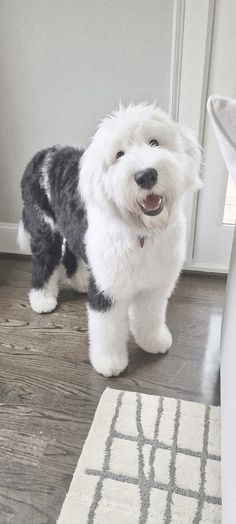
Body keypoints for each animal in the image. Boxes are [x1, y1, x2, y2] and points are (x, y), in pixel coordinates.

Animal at [18, 103, 201, 376]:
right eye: (119, 154)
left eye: (154, 142)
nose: (146, 175)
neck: (141, 234)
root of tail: (42, 155)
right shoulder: (109, 288)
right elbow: (108, 329)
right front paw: (109, 363)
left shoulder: (155, 285)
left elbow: (150, 316)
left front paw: (153, 341)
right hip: (44, 226)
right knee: (45, 261)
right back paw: (42, 299)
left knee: (71, 252)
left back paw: (81, 281)